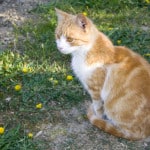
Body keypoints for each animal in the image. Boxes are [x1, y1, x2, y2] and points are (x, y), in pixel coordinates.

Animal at [55, 8, 150, 141]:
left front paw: (98, 117)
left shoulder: (95, 90)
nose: (60, 47)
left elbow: (98, 107)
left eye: (70, 39)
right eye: (58, 36)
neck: (85, 52)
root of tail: (145, 132)